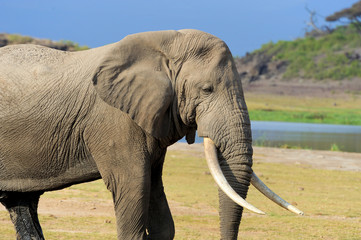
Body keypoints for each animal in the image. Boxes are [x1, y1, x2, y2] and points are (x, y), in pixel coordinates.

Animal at [0, 30, 300, 240]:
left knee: (22, 204)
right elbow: (135, 185)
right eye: (207, 90)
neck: (167, 44)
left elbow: (157, 198)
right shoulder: (114, 120)